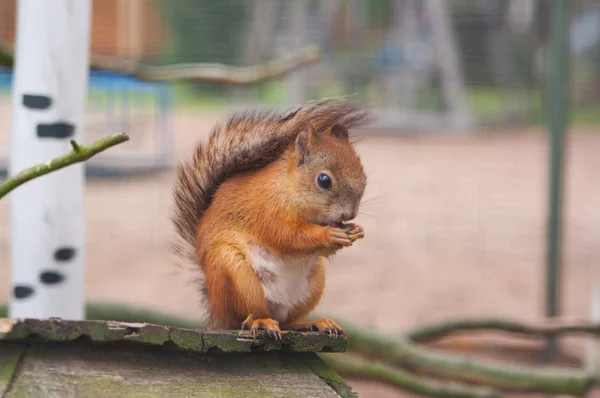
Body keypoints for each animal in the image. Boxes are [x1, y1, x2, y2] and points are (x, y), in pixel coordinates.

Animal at [172, 98, 370, 338]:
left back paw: (315, 323)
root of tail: (216, 312)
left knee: (286, 322)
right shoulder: (268, 210)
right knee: (246, 316)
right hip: (234, 273)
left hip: (313, 284)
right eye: (324, 180)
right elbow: (287, 237)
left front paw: (356, 230)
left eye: (363, 176)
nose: (349, 214)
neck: (289, 187)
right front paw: (329, 234)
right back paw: (260, 322)